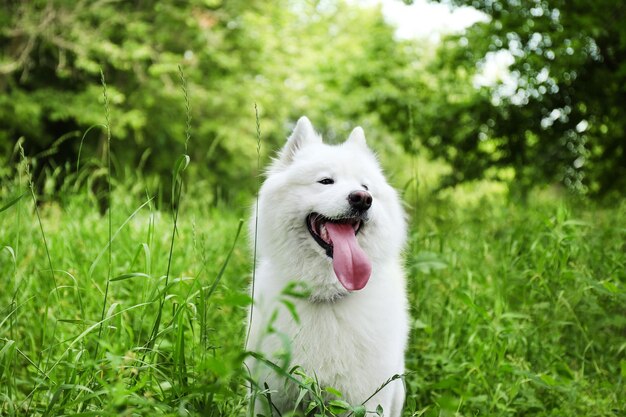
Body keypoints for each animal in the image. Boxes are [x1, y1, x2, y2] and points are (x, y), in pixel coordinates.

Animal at [246, 117, 408, 416]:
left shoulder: (366, 401)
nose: (361, 198)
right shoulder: (266, 395)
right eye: (325, 181)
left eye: (366, 187)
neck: (327, 296)